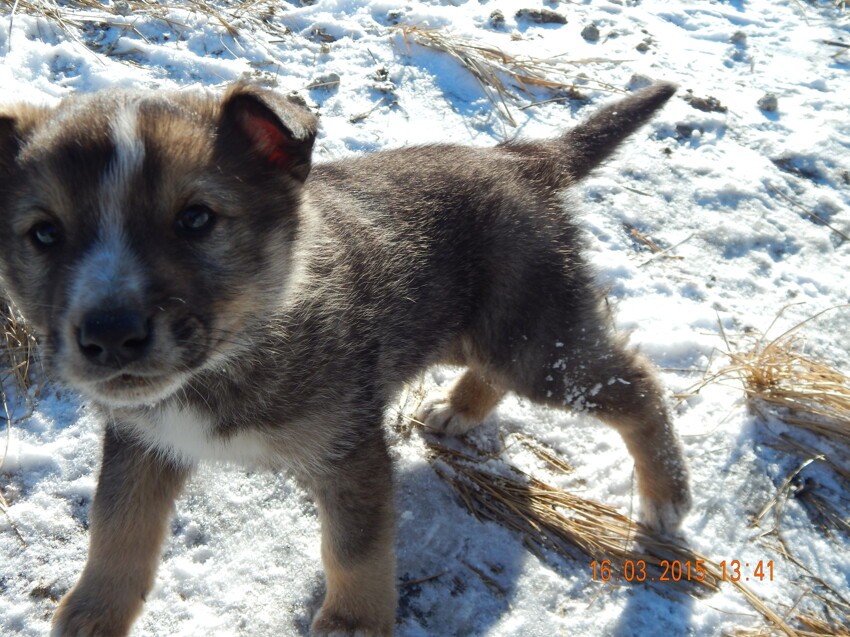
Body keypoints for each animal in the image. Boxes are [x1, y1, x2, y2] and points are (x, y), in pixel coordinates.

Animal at [0, 82, 688, 632]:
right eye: (44, 233)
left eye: (196, 218)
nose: (109, 335)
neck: (235, 353)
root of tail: (522, 158)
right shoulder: (143, 439)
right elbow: (118, 528)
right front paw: (92, 614)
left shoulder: (349, 448)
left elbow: (355, 549)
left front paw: (354, 622)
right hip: (489, 329)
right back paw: (461, 409)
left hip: (535, 342)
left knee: (637, 386)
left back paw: (666, 499)